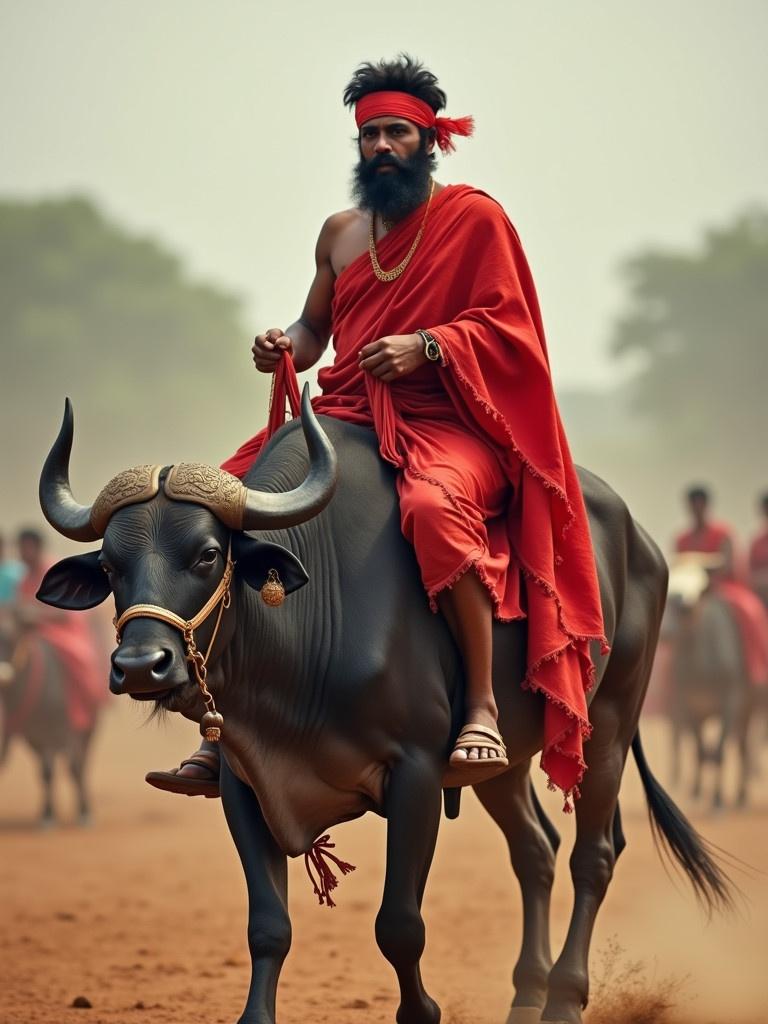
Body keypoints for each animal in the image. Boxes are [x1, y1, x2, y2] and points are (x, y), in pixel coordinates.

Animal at [37, 395, 733, 1024]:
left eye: (207, 554)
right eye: (111, 565)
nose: (139, 666)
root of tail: (644, 545)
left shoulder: (416, 772)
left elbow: (399, 923)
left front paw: (422, 1012)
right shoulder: (245, 777)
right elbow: (268, 925)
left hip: (610, 723)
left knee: (595, 854)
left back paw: (563, 999)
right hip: (505, 766)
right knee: (536, 849)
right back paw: (526, 993)